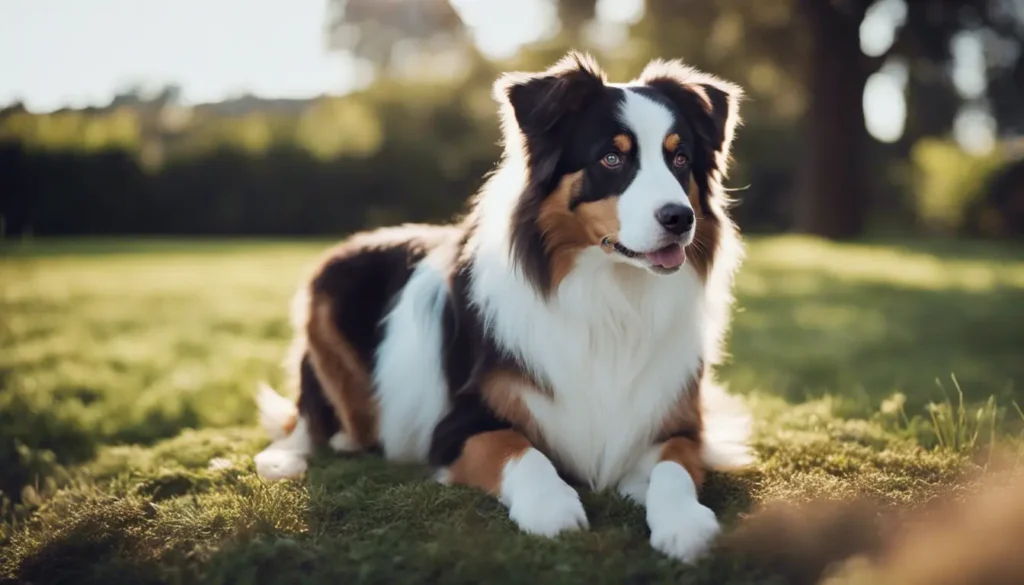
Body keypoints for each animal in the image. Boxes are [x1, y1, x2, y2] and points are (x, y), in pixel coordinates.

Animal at [253, 53, 753, 561]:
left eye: (680, 158)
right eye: (611, 158)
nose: (679, 219)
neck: (610, 295)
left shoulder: (677, 422)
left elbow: (674, 467)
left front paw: (685, 522)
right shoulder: (457, 428)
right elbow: (518, 450)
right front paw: (552, 507)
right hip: (324, 301)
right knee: (308, 424)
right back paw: (284, 458)